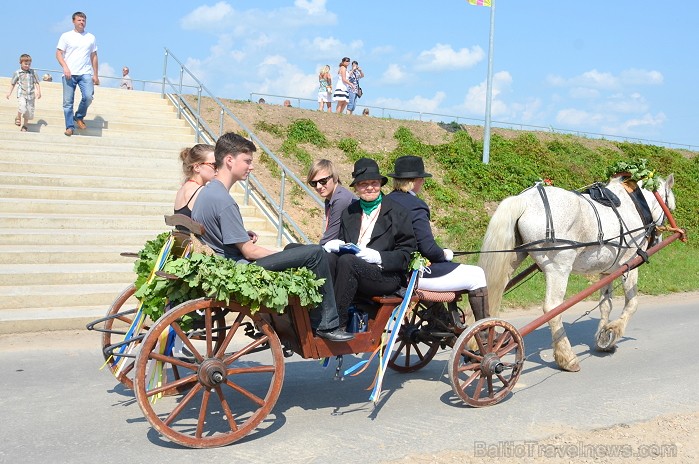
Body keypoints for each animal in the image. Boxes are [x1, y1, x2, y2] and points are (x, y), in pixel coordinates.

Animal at [478, 176, 676, 372]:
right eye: (670, 208)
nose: (657, 240)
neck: (633, 204)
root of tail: (525, 200)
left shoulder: (607, 272)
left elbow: (605, 305)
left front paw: (603, 338)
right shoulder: (631, 264)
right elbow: (632, 303)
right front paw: (613, 331)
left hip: (512, 259)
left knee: (493, 295)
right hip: (559, 268)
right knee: (552, 308)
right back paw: (566, 357)